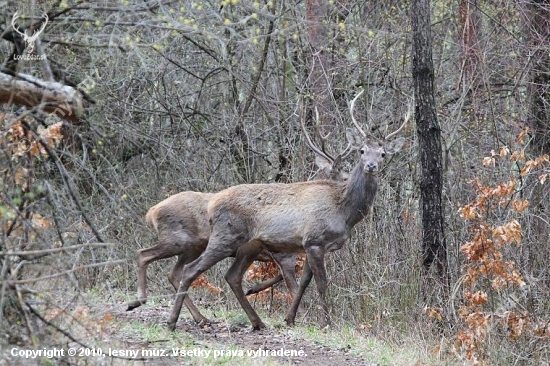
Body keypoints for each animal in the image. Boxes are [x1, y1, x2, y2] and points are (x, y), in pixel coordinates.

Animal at [125, 108, 352, 324]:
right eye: (343, 175)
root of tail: (152, 212)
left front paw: (256, 290)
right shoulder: (282, 254)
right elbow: (290, 283)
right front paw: (295, 314)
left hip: (192, 247)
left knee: (174, 273)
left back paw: (200, 318)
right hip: (178, 239)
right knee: (146, 255)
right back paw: (139, 301)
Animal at [166, 89, 412, 332]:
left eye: (382, 154)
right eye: (361, 150)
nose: (371, 166)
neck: (344, 212)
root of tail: (212, 204)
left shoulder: (311, 245)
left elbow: (303, 283)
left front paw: (290, 319)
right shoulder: (315, 239)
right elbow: (321, 284)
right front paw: (327, 323)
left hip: (249, 245)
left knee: (232, 276)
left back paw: (256, 322)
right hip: (225, 236)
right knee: (190, 270)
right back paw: (174, 321)